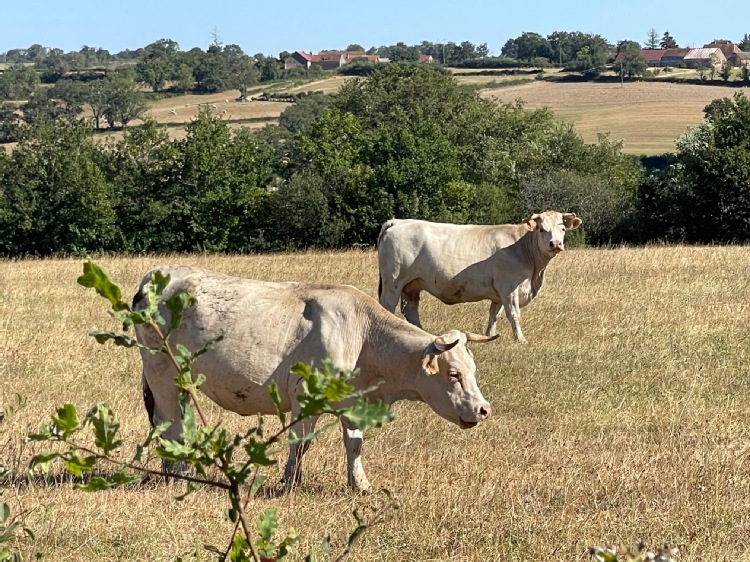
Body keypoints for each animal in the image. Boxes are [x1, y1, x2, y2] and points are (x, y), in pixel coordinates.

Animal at [134, 266, 500, 490]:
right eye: (453, 374)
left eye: (473, 370)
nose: (484, 409)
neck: (363, 335)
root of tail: (160, 275)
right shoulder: (303, 399)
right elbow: (301, 443)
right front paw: (289, 482)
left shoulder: (353, 403)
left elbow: (354, 443)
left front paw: (360, 484)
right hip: (161, 372)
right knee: (170, 422)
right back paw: (180, 475)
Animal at [378, 210, 584, 342]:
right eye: (542, 229)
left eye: (562, 229)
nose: (555, 243)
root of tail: (398, 221)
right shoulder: (509, 288)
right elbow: (514, 314)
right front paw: (521, 340)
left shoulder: (499, 293)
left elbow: (494, 315)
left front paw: (489, 336)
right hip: (393, 282)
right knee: (387, 307)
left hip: (411, 286)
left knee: (411, 311)